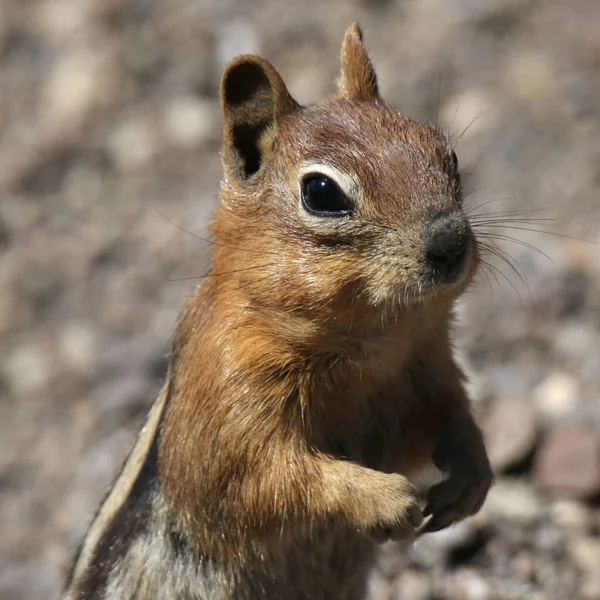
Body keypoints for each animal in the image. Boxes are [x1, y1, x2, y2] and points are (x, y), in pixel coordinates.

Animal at [64, 22, 492, 600]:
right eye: (322, 191)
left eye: (446, 152)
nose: (450, 241)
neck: (372, 343)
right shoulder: (225, 394)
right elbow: (263, 480)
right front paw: (384, 499)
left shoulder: (426, 369)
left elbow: (447, 416)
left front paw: (474, 471)